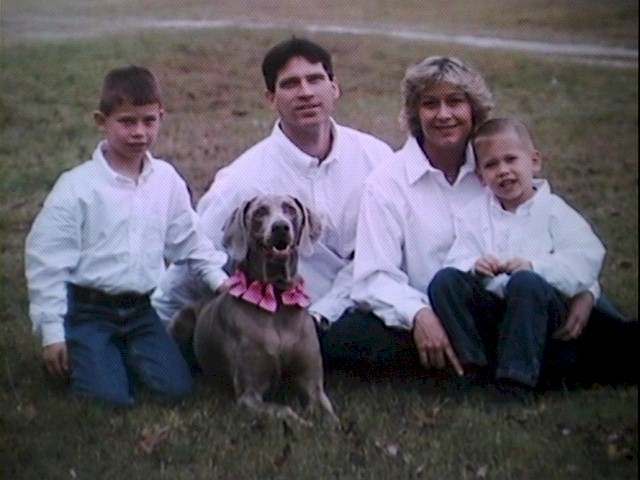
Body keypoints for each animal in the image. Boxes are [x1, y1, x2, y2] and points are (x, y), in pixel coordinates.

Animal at [170, 193, 340, 426]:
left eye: (290, 209)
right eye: (260, 211)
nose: (280, 227)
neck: (276, 299)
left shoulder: (313, 385)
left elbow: (329, 415)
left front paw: (330, 427)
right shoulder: (249, 395)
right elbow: (284, 411)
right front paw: (306, 424)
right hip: (183, 319)